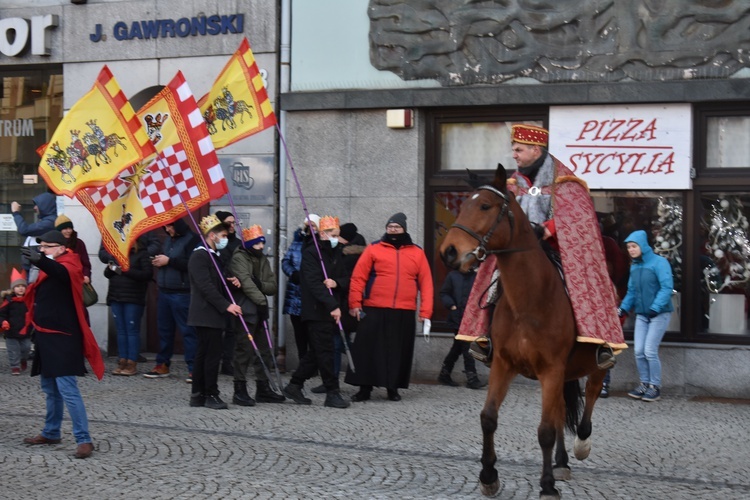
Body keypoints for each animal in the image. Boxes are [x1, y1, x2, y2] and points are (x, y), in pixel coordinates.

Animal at [440, 165, 612, 500]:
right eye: (463, 203)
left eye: (485, 206)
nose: (448, 252)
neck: (530, 300)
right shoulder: (504, 364)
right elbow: (488, 418)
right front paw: (488, 475)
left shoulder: (551, 369)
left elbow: (545, 430)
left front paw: (547, 486)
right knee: (560, 409)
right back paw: (562, 462)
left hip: (597, 358)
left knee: (592, 392)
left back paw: (581, 444)